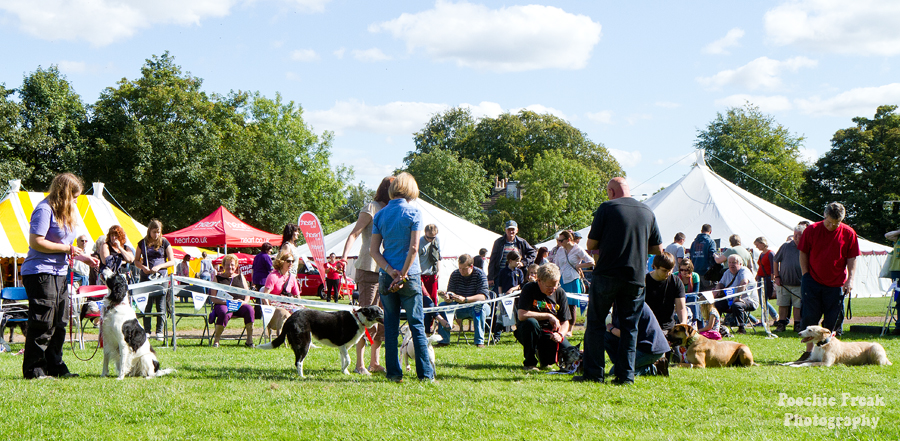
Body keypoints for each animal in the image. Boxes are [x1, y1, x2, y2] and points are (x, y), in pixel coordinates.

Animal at [256, 304, 384, 376]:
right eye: (379, 312)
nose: (386, 315)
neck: (358, 319)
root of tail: (290, 318)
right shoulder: (342, 345)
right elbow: (348, 360)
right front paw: (345, 370)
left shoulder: (343, 348)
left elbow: (344, 360)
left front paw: (344, 372)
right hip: (305, 343)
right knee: (299, 362)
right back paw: (302, 377)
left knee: (297, 361)